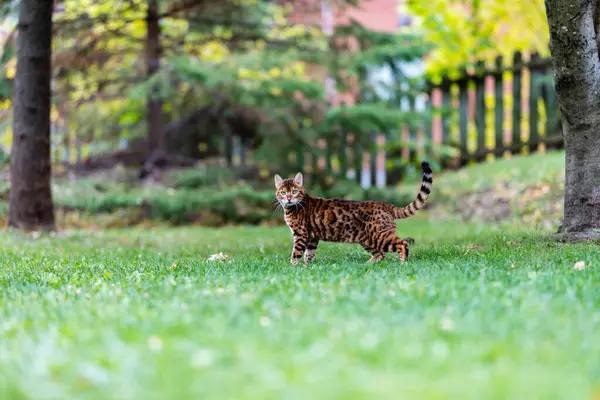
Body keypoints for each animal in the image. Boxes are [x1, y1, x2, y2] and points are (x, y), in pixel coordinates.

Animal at [274, 161, 434, 264]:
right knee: (381, 254)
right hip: (368, 240)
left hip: (380, 236)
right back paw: (367, 265)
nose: (288, 198)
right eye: (283, 192)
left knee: (402, 244)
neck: (293, 208)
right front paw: (307, 267)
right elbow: (309, 254)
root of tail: (385, 204)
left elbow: (296, 253)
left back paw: (402, 263)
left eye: (294, 191)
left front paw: (293, 268)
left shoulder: (301, 234)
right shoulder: (312, 237)